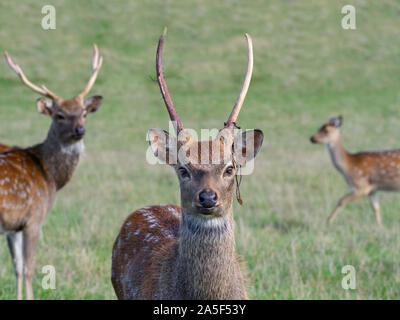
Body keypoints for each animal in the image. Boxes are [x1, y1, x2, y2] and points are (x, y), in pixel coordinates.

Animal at [0, 43, 103, 298]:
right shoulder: (34, 217)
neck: (51, 177)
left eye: (83, 112)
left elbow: (17, 268)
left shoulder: (13, 227)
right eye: (60, 115)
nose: (80, 130)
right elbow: (29, 269)